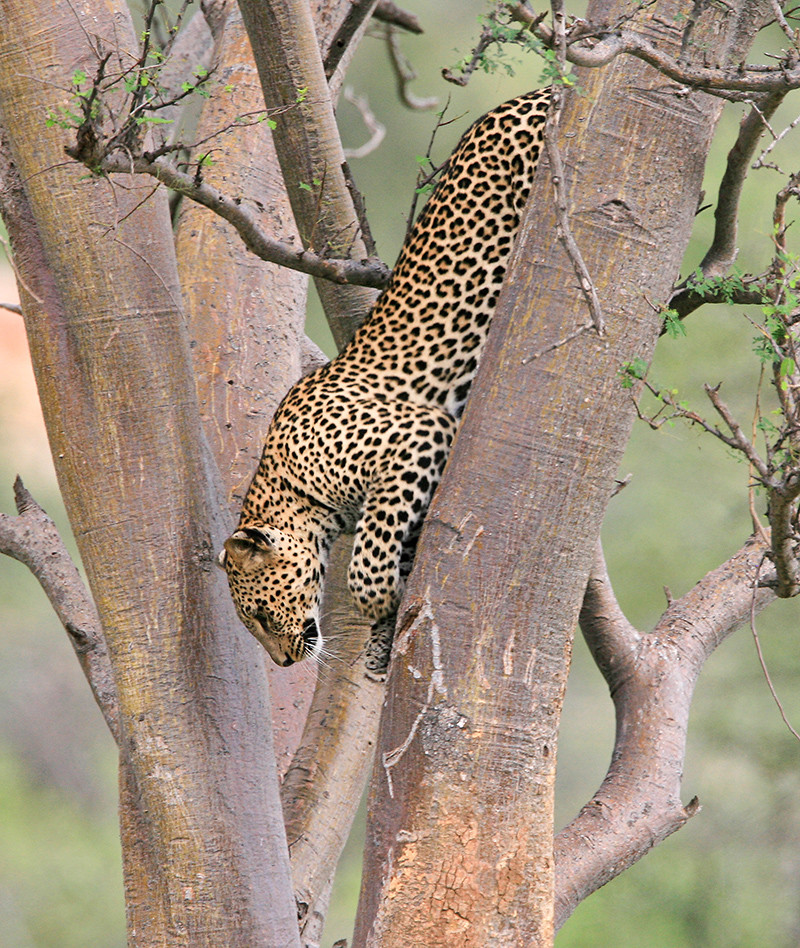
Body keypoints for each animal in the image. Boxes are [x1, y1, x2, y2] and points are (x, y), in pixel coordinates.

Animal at [219, 88, 549, 675]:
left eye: (258, 614)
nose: (283, 664)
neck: (290, 485)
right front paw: (379, 642)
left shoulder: (419, 433)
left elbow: (365, 569)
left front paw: (385, 604)